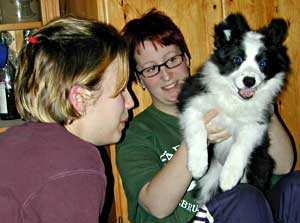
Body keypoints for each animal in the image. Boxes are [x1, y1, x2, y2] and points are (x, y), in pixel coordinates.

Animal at [177, 13, 290, 206]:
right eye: (237, 60)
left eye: (263, 63)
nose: (249, 81)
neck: (234, 100)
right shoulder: (191, 100)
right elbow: (197, 128)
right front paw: (197, 165)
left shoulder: (257, 122)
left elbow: (240, 144)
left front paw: (229, 177)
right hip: (209, 181)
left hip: (259, 164)